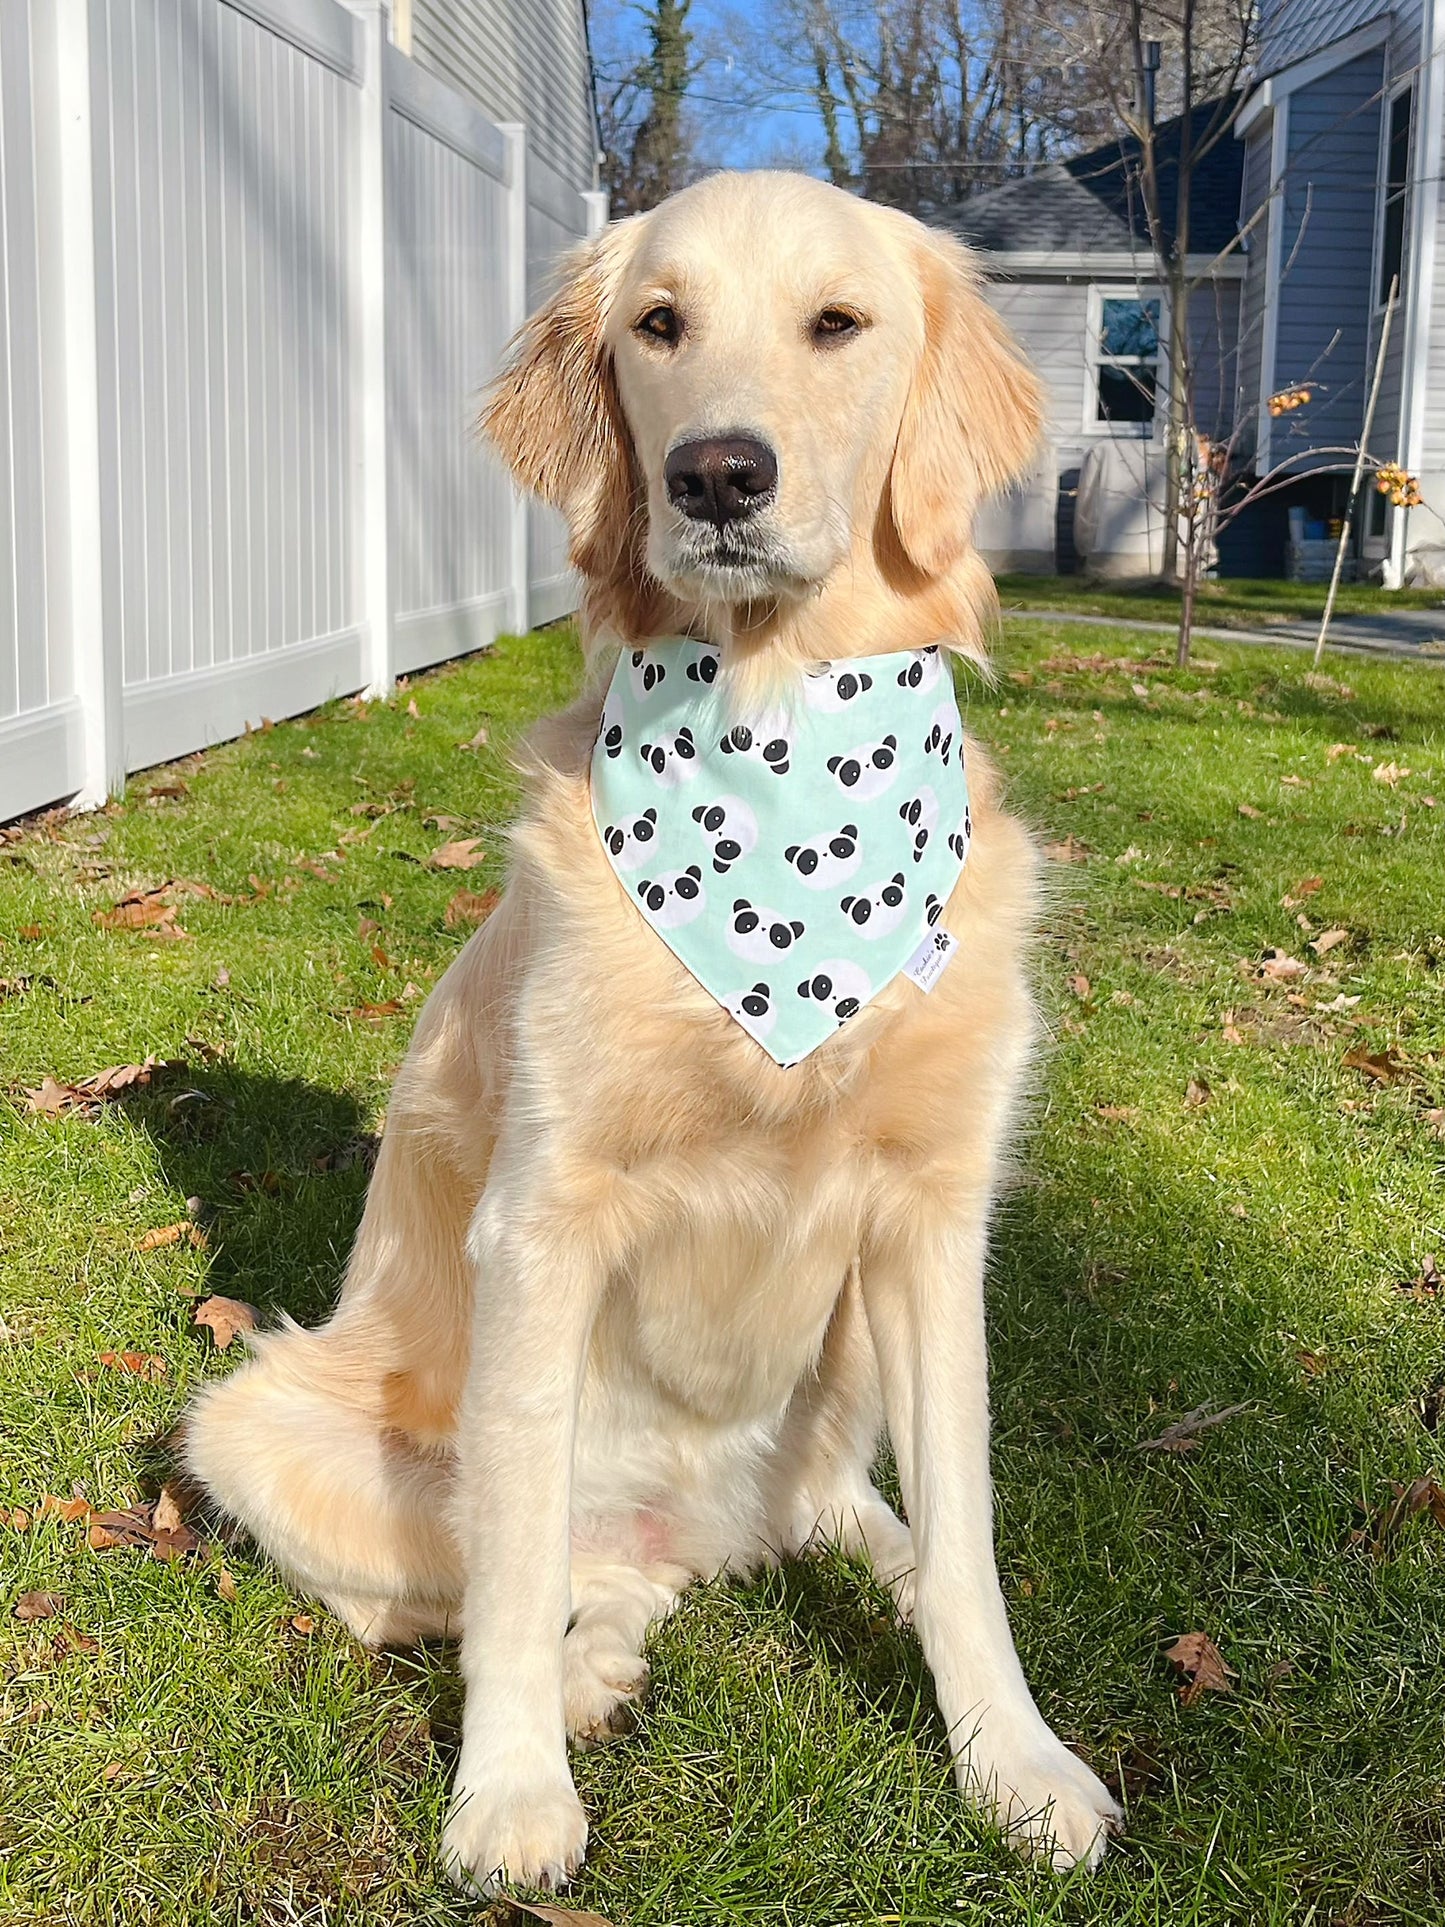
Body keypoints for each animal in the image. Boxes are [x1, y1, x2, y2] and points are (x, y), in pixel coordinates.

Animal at [186, 169, 1125, 1896]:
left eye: (839, 322)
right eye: (659, 325)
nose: (717, 472)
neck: (777, 742)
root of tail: (694, 1530)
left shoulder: (932, 1219)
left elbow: (969, 1538)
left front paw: (1016, 1762)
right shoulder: (543, 1218)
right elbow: (504, 1572)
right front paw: (506, 1785)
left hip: (839, 1380)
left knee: (839, 1514)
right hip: (256, 1422)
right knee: (518, 1574)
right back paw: (588, 1662)